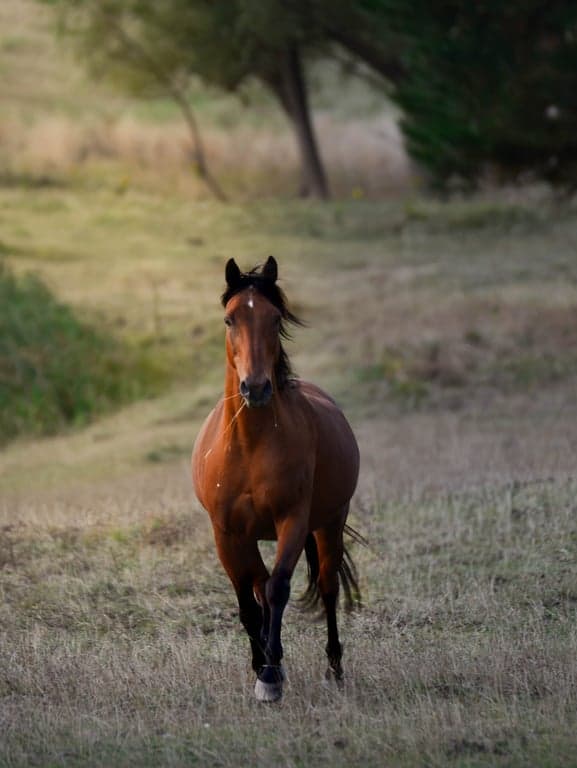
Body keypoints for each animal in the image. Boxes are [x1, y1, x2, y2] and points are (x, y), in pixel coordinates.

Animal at [191, 256, 360, 702]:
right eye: (230, 319)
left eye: (275, 317)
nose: (255, 388)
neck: (250, 446)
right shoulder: (227, 533)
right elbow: (249, 603)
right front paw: (264, 667)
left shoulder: (292, 521)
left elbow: (278, 588)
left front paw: (269, 676)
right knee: (259, 587)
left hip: (329, 522)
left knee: (327, 586)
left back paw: (334, 669)